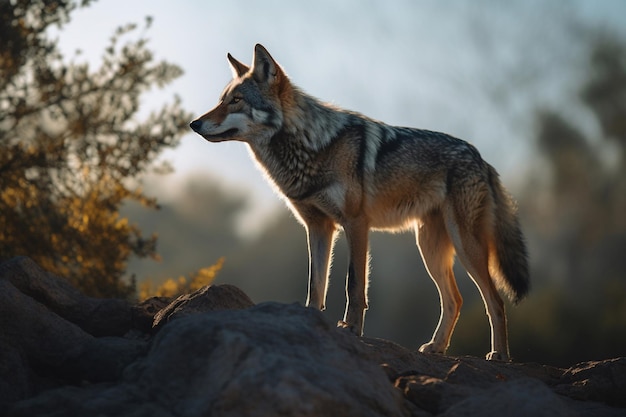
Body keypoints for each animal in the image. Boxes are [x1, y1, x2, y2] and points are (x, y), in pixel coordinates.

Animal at [189, 43, 528, 360]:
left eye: (236, 101)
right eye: (222, 99)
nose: (194, 124)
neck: (311, 146)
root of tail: (482, 158)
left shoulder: (355, 223)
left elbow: (354, 285)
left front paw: (351, 328)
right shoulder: (318, 227)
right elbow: (316, 284)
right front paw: (310, 322)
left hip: (465, 245)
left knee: (495, 301)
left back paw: (499, 355)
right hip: (429, 247)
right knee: (454, 300)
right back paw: (436, 347)